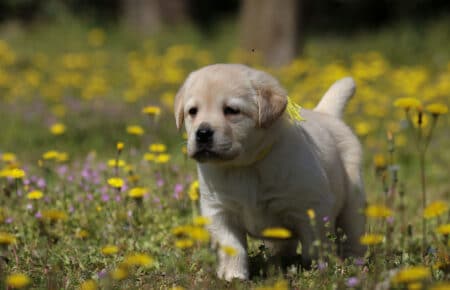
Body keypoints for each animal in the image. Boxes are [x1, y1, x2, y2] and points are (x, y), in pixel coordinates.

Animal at [172, 63, 366, 280]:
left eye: (231, 110)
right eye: (192, 111)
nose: (203, 133)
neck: (244, 167)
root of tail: (326, 114)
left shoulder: (313, 207)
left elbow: (314, 246)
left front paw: (316, 272)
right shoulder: (219, 210)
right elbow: (232, 246)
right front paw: (234, 276)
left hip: (353, 201)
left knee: (354, 235)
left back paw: (355, 263)